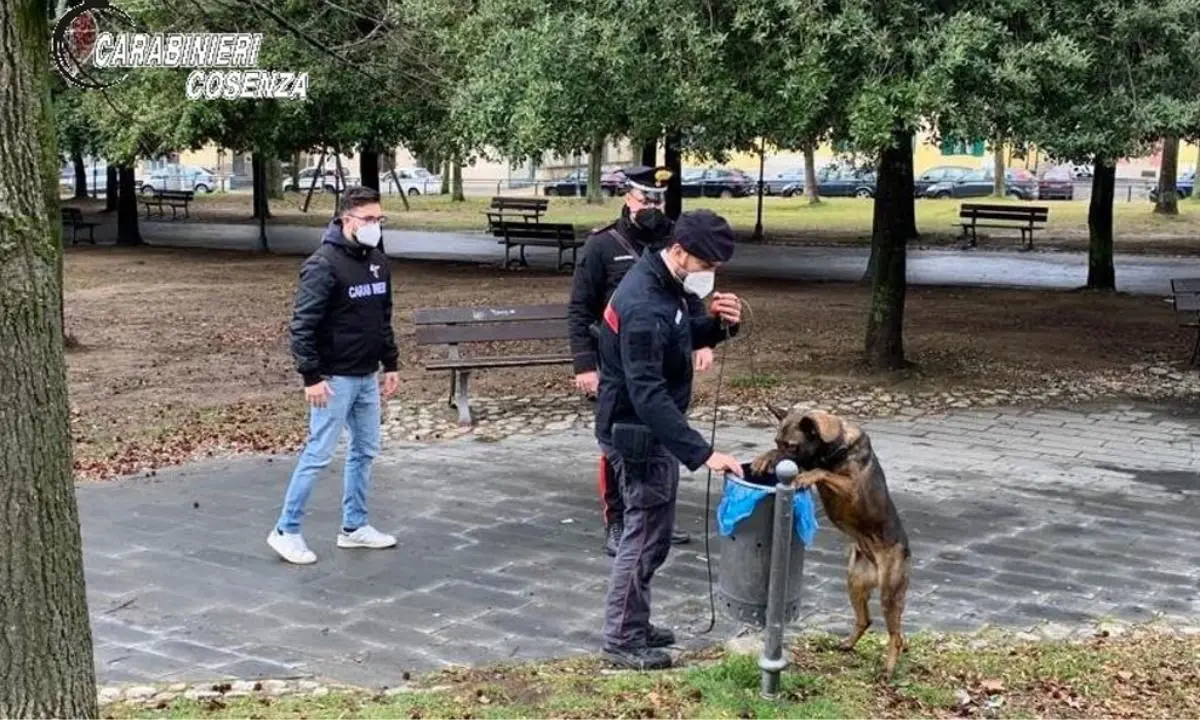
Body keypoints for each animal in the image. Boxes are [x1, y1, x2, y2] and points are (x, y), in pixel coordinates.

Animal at [748, 408, 907, 676]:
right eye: (777, 442)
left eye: (792, 445)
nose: (780, 463)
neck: (834, 446)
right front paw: (765, 457)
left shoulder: (851, 487)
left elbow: (822, 472)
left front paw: (807, 475)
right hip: (854, 582)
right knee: (865, 620)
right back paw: (848, 644)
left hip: (889, 593)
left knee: (895, 635)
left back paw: (888, 668)